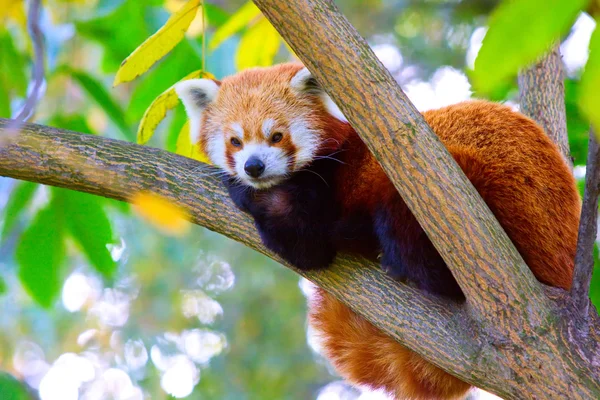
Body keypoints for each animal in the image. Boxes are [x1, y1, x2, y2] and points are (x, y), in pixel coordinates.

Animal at [175, 64, 580, 398]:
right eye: (235, 141)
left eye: (276, 136)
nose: (253, 167)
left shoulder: (328, 187)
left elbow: (306, 244)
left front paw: (242, 192)